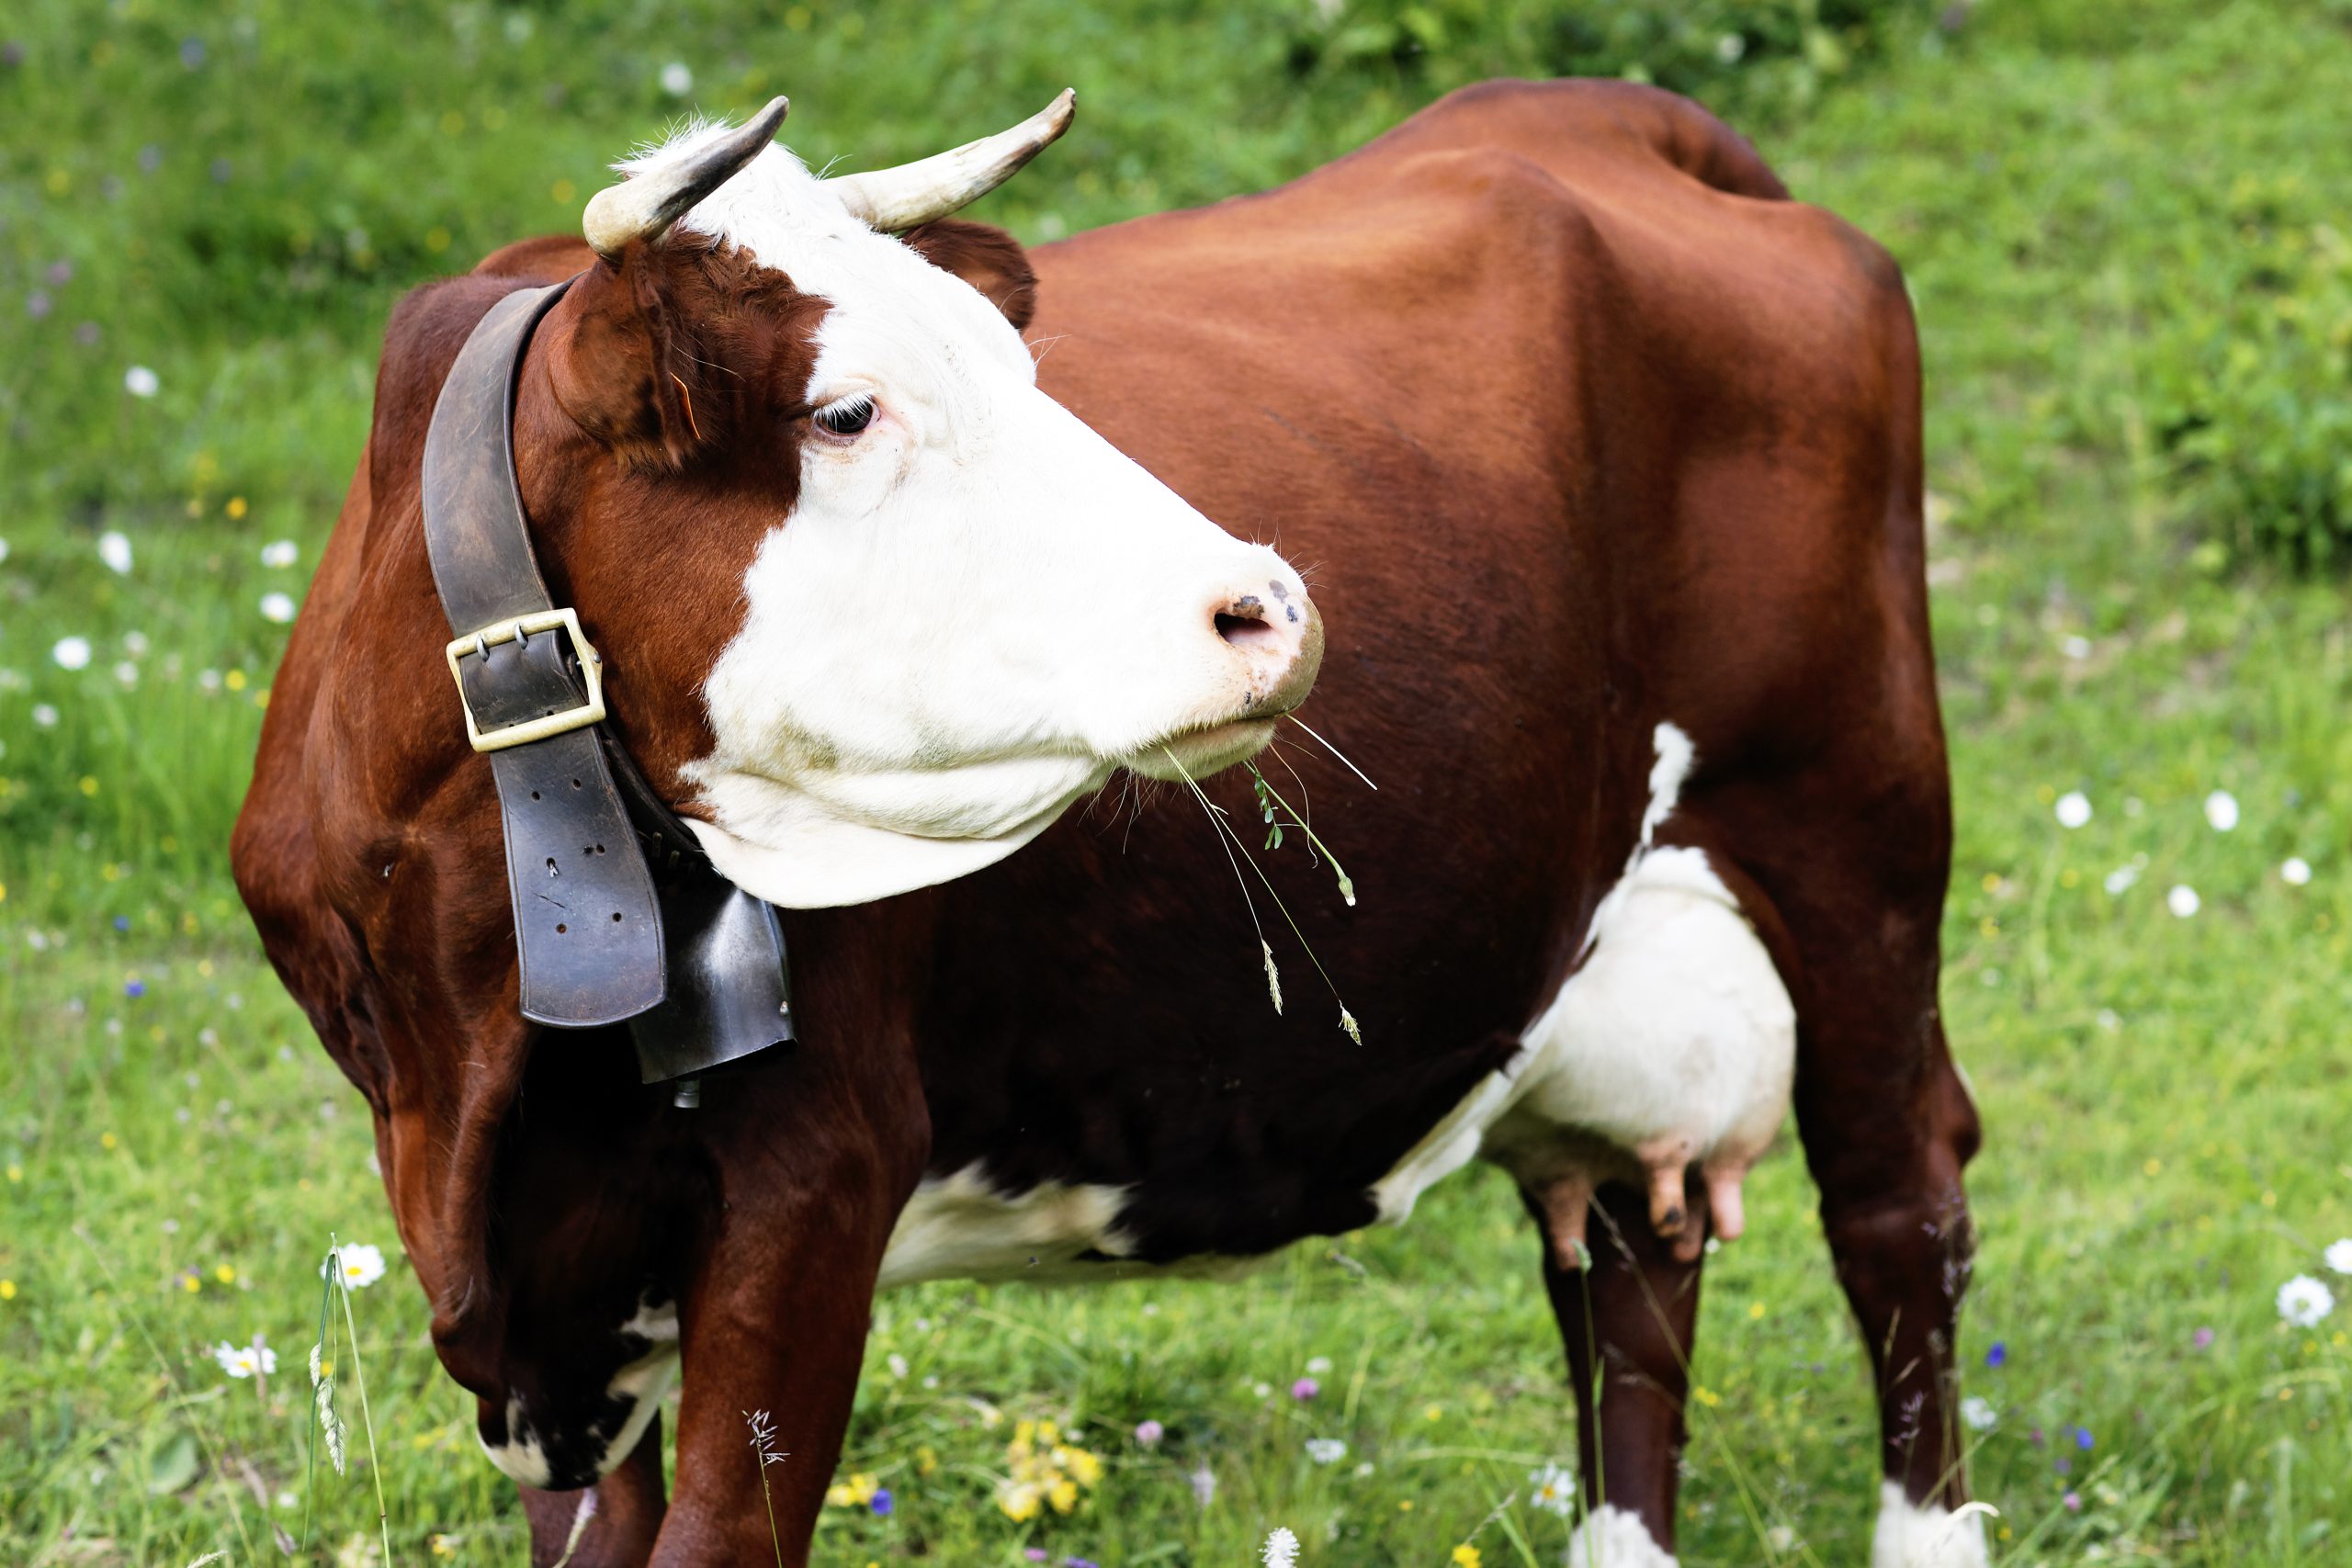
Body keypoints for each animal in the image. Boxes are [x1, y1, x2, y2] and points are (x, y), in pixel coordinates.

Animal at [233, 78, 1985, 1567]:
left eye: (1019, 367)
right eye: (847, 411)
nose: (1267, 605)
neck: (484, 1031)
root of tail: (1600, 116)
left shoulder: (815, 1175)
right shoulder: (535, 1297)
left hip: (1856, 821)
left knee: (1898, 1196)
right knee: (1629, 1253)